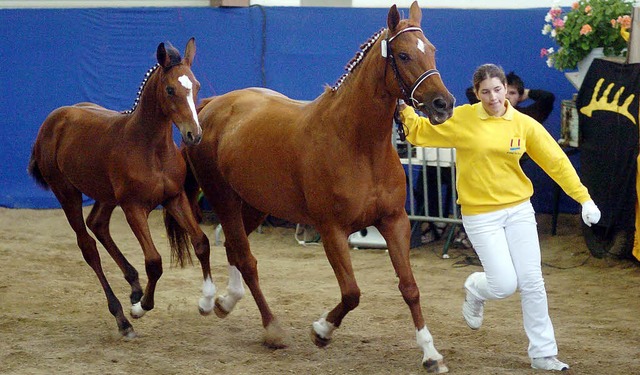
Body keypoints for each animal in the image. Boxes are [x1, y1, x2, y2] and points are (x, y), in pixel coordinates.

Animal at [28, 39, 215, 340]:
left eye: (196, 86)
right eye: (170, 89)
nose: (194, 135)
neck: (150, 147)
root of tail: (53, 120)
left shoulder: (174, 198)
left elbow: (201, 242)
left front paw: (207, 301)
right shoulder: (133, 207)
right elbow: (154, 261)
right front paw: (141, 308)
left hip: (105, 194)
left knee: (98, 223)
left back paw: (134, 286)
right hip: (67, 192)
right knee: (88, 246)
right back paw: (122, 318)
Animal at [185, 2, 456, 374]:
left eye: (431, 50)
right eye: (403, 55)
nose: (443, 104)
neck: (357, 144)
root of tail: (212, 105)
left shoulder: (394, 222)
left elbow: (410, 287)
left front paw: (430, 354)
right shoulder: (332, 230)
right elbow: (352, 293)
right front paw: (321, 331)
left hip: (254, 204)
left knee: (231, 246)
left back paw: (225, 302)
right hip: (223, 198)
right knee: (246, 258)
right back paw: (271, 329)